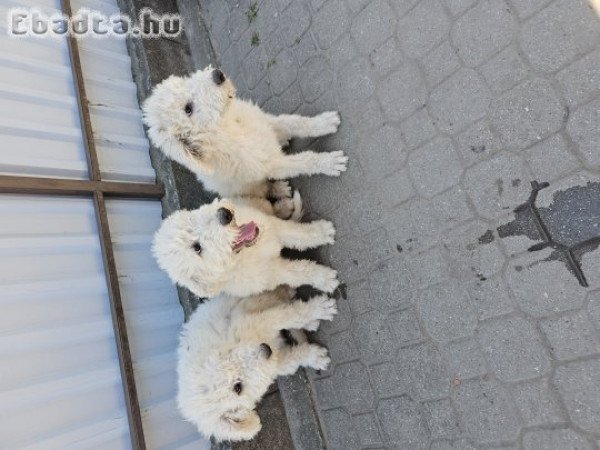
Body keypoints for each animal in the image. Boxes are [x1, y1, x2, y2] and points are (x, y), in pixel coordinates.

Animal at [142, 66, 346, 201]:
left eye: (184, 80)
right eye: (188, 109)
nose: (217, 74)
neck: (230, 127)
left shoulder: (264, 121)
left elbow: (295, 123)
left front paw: (324, 122)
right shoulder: (270, 164)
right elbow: (302, 162)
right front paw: (329, 163)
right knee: (264, 190)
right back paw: (280, 189)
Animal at [152, 197, 340, 298]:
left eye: (192, 216)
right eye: (197, 248)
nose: (224, 214)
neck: (246, 254)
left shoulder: (273, 227)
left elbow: (297, 233)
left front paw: (322, 232)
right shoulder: (274, 273)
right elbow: (299, 272)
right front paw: (325, 279)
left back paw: (284, 206)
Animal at [177, 286, 338, 442]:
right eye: (238, 388)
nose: (265, 349)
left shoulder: (255, 320)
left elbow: (290, 315)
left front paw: (321, 308)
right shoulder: (274, 363)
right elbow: (293, 357)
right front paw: (315, 357)